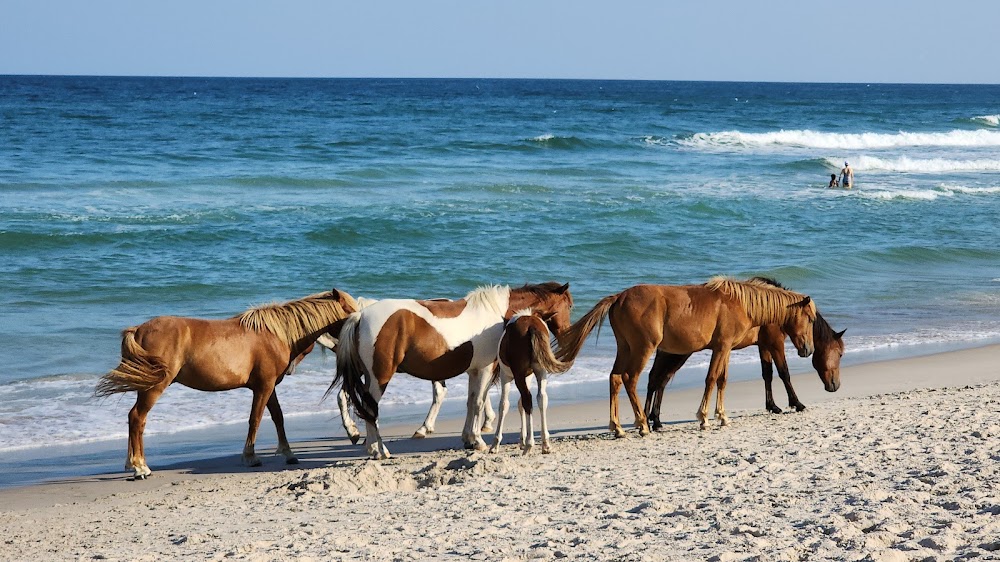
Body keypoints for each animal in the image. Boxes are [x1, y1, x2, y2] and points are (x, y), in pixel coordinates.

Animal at [94, 288, 360, 476]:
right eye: (349, 310)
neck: (276, 334)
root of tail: (138, 329)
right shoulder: (263, 386)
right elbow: (255, 419)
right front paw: (250, 456)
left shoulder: (269, 386)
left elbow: (278, 417)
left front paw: (288, 453)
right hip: (154, 386)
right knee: (138, 418)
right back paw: (140, 467)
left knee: (134, 418)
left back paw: (132, 464)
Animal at [488, 308, 576, 452]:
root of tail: (531, 325)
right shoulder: (528, 376)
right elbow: (520, 404)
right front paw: (522, 439)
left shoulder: (506, 375)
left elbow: (504, 405)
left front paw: (495, 444)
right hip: (541, 371)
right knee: (541, 398)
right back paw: (545, 443)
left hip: (518, 375)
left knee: (527, 399)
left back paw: (530, 444)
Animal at [556, 276, 820, 434]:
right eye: (809, 318)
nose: (808, 349)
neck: (740, 303)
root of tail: (619, 297)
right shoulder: (723, 348)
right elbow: (711, 379)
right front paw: (704, 417)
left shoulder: (725, 349)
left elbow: (722, 381)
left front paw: (722, 416)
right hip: (644, 349)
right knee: (632, 379)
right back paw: (643, 424)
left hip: (626, 348)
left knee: (616, 378)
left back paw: (618, 427)